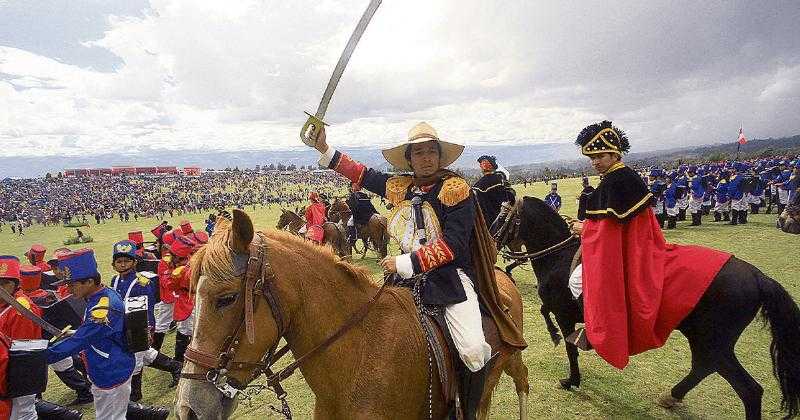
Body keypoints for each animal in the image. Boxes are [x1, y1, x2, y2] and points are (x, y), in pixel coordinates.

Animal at [176, 212, 528, 418]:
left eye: (227, 298)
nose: (188, 408)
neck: (359, 353)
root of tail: (501, 276)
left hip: (508, 359)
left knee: (520, 380)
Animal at [496, 197, 796, 420]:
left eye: (501, 218)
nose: (492, 240)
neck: (558, 256)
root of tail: (757, 276)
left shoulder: (564, 312)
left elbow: (567, 343)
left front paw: (571, 377)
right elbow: (546, 313)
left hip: (712, 341)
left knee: (748, 390)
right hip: (707, 341)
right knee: (703, 367)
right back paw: (671, 397)